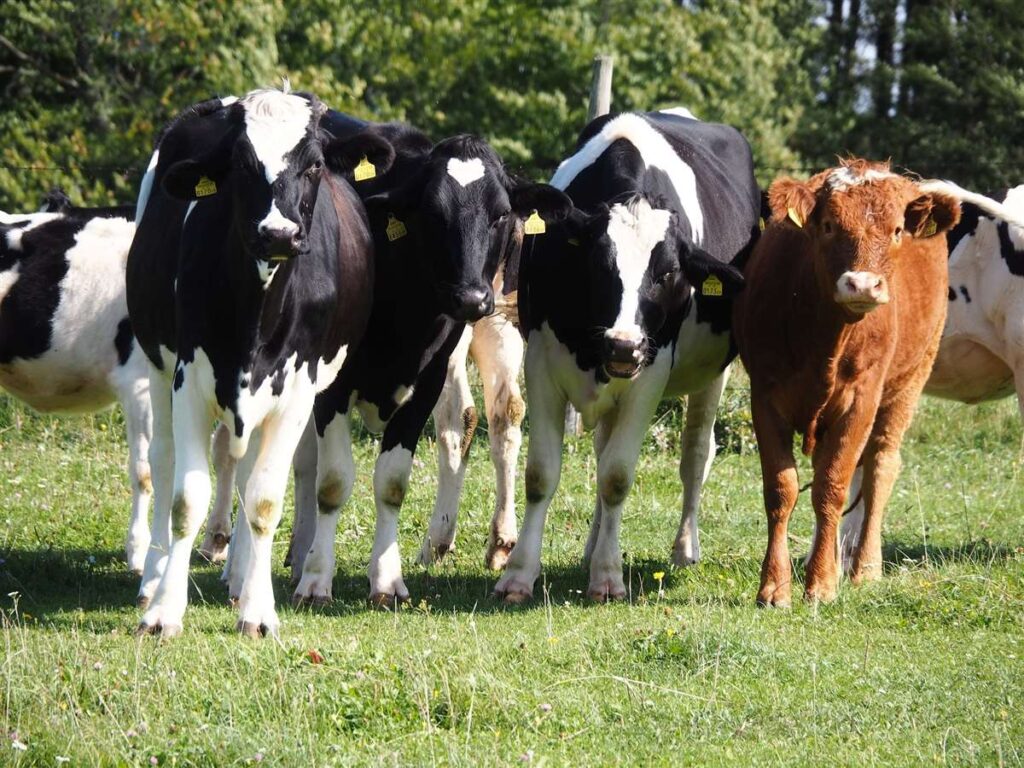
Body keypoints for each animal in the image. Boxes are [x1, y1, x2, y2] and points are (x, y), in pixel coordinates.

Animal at [128, 87, 388, 637]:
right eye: (242, 165)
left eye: (314, 166)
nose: (278, 233)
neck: (257, 315)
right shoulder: (189, 380)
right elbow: (186, 498)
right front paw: (164, 610)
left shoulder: (298, 392)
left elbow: (265, 499)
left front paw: (258, 610)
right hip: (156, 366)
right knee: (162, 462)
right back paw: (153, 576)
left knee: (247, 475)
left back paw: (240, 576)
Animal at [288, 117, 571, 608]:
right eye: (432, 213)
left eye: (500, 213)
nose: (471, 297)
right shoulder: (331, 385)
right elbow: (332, 481)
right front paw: (316, 578)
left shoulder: (428, 377)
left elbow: (392, 481)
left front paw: (385, 579)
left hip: (496, 329)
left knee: (489, 415)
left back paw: (483, 540)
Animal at [492, 109, 759, 603]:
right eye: (599, 265)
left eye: (669, 272)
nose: (623, 344)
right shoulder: (541, 361)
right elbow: (542, 474)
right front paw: (519, 574)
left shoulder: (649, 375)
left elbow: (617, 475)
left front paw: (608, 576)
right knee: (602, 450)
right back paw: (592, 546)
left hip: (714, 373)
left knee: (696, 453)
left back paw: (684, 548)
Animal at [735, 159, 966, 606]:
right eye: (828, 226)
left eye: (896, 230)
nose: (861, 284)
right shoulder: (765, 396)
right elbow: (781, 488)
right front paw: (775, 585)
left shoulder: (862, 399)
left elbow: (832, 485)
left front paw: (822, 584)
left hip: (910, 381)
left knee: (880, 467)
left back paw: (864, 568)